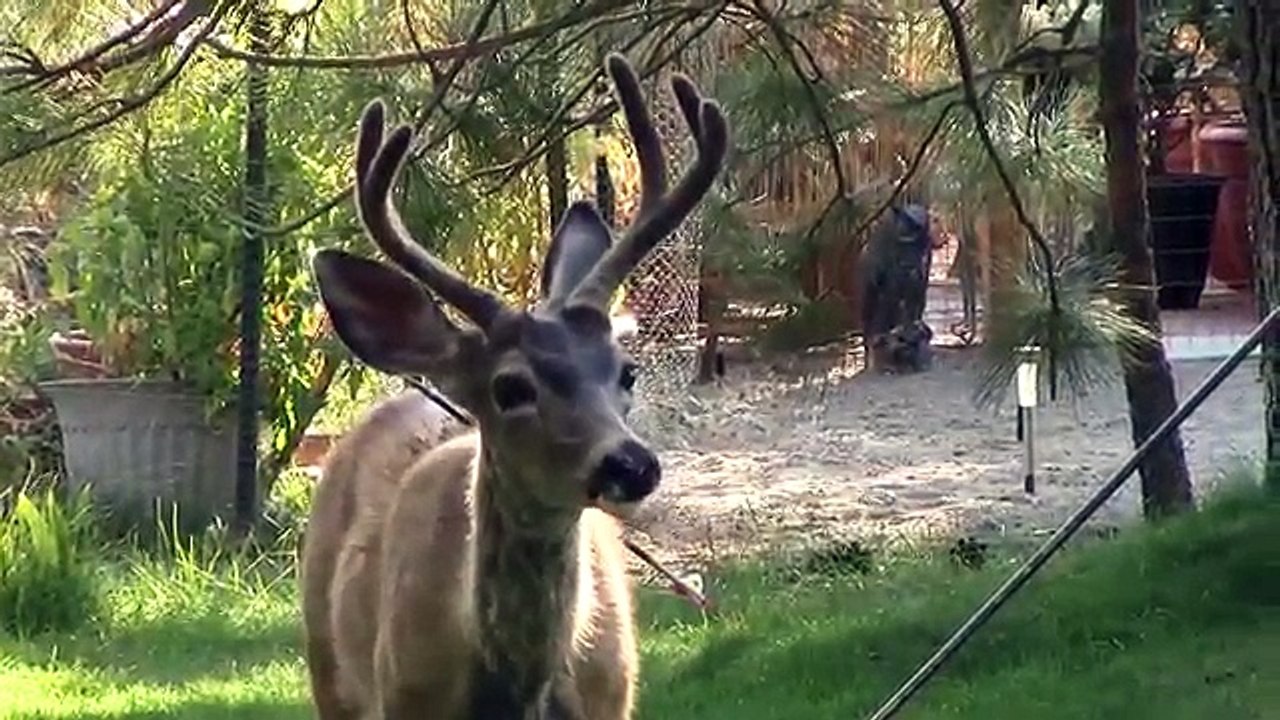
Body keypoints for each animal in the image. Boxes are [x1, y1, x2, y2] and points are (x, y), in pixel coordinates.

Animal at [301, 52, 728, 720]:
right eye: (509, 388)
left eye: (626, 371)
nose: (631, 464)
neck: (516, 693)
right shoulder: (405, 696)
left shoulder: (614, 697)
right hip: (330, 668)